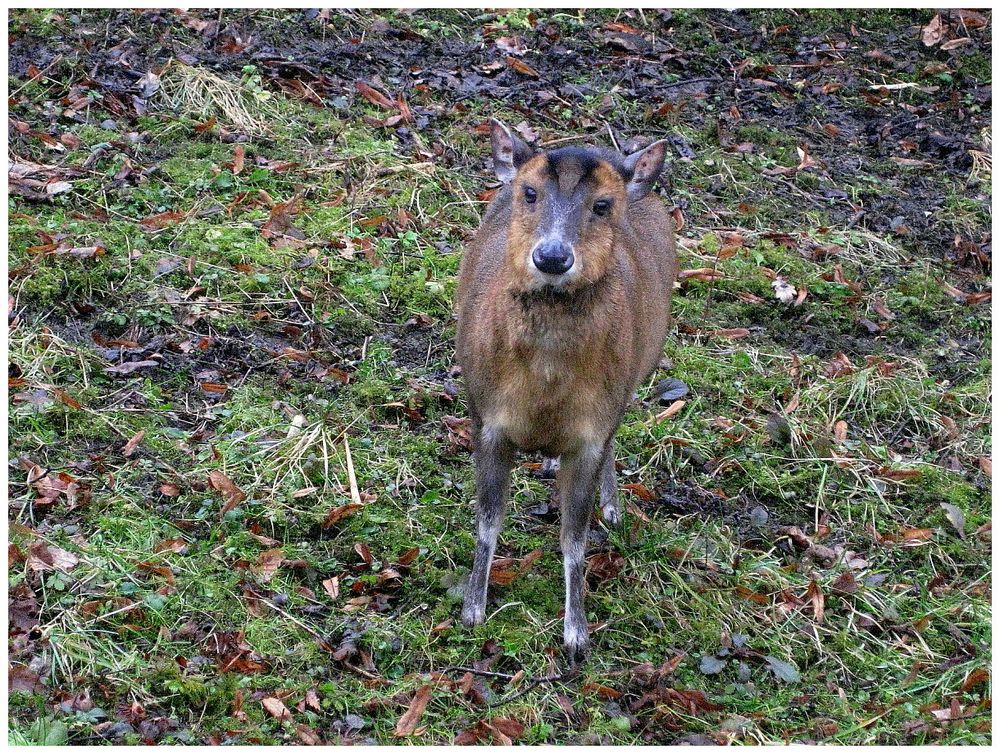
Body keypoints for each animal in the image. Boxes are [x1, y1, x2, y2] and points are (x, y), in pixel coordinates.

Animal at [456, 119, 680, 656]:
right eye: (530, 192)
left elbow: (574, 540)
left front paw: (576, 633)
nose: (553, 256)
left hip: (638, 371)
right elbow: (488, 522)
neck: (543, 392)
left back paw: (613, 506)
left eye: (603, 204)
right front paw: (473, 609)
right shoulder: (485, 417)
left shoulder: (591, 434)